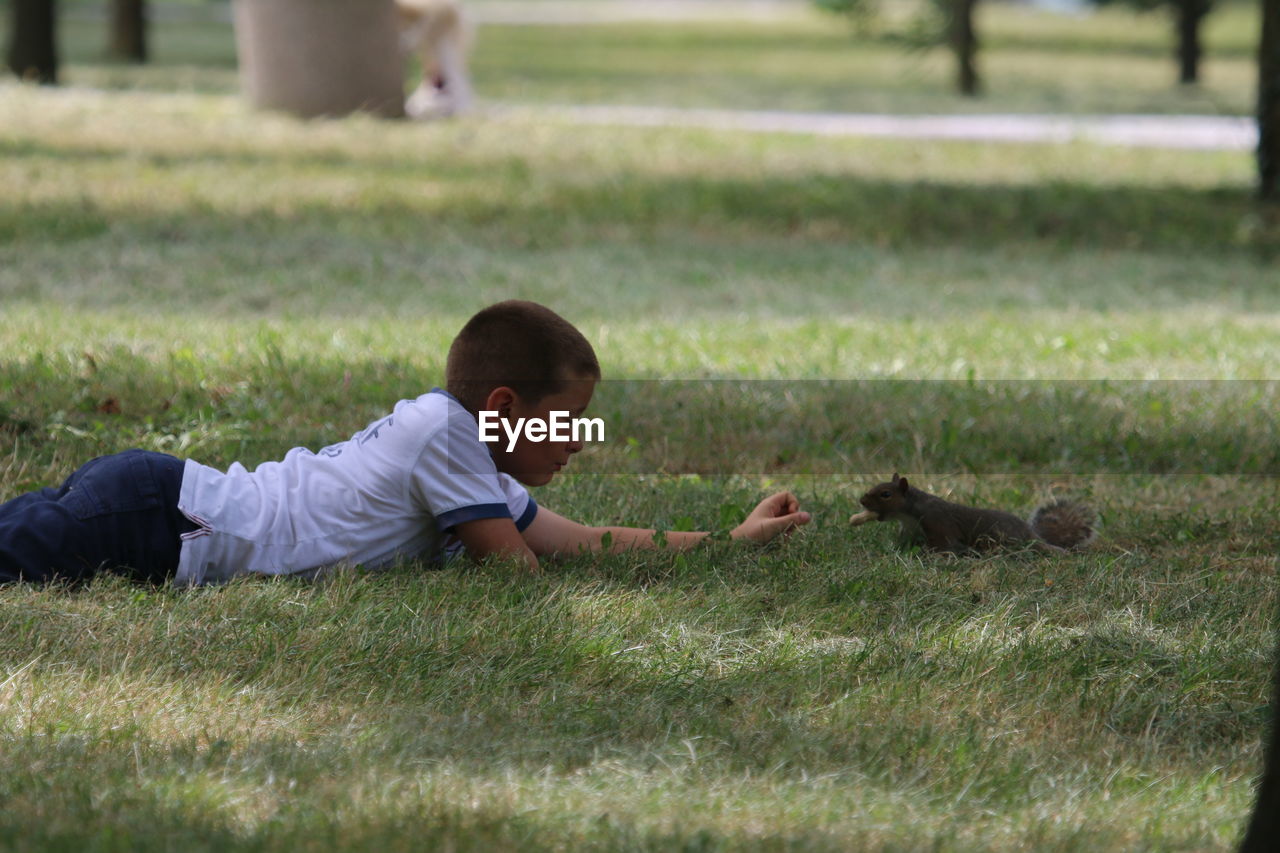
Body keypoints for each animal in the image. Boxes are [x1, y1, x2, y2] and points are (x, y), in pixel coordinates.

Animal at [855, 471, 1095, 550]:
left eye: (886, 494)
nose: (862, 501)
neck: (909, 514)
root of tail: (1034, 537)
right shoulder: (909, 530)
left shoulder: (938, 523)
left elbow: (944, 545)